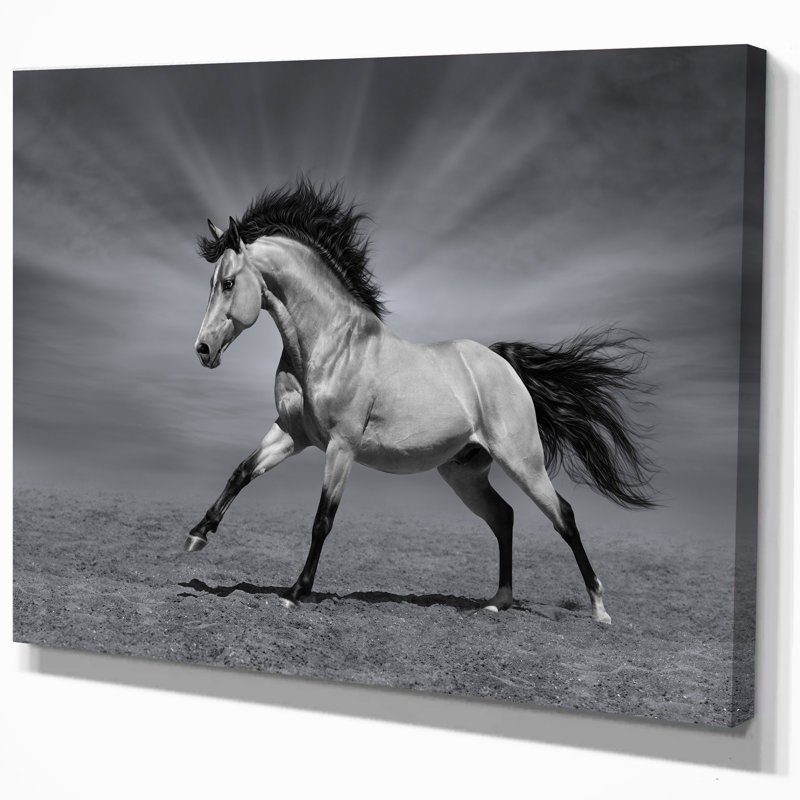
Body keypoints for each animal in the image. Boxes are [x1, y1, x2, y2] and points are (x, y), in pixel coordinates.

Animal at [186, 179, 656, 624]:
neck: (330, 344)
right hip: (464, 473)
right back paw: (497, 602)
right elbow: (241, 472)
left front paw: (295, 592)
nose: (203, 350)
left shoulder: (341, 447)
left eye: (228, 283)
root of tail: (504, 365)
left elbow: (323, 519)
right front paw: (197, 534)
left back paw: (599, 610)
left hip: (523, 462)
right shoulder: (292, 433)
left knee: (564, 516)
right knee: (504, 516)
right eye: (211, 283)